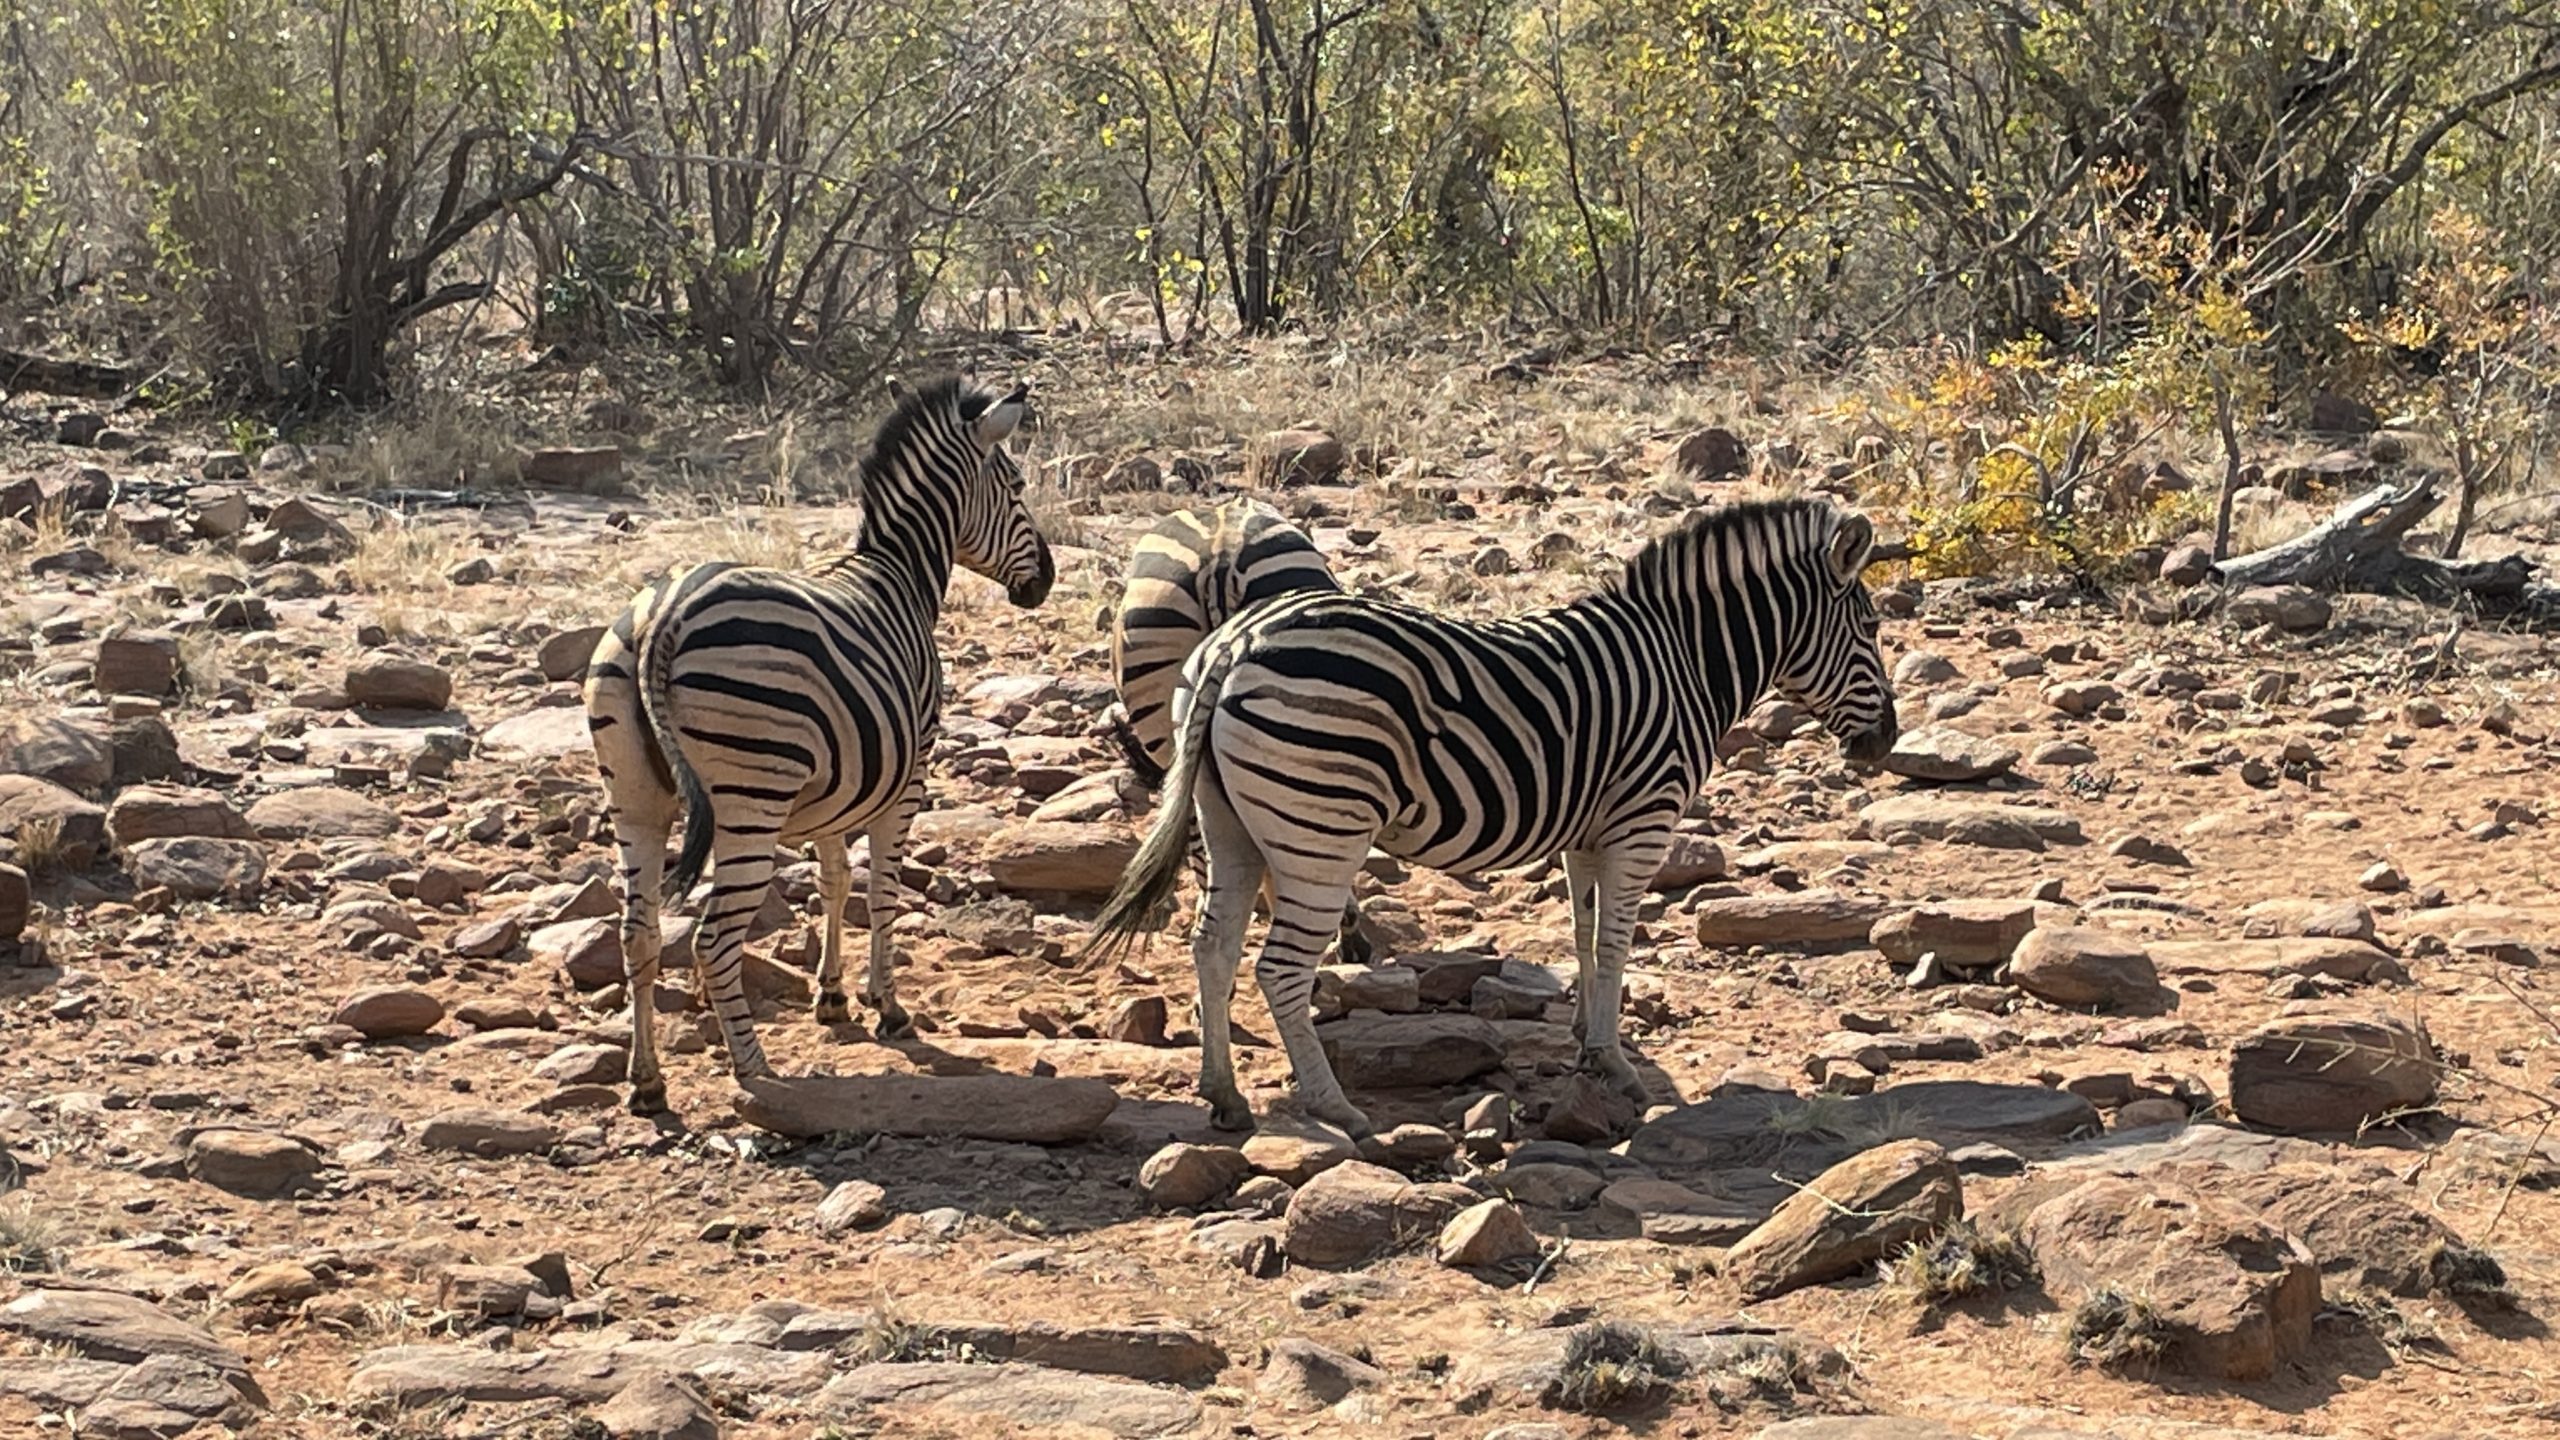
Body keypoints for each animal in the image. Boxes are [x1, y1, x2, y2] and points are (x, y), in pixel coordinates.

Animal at [586, 371, 1054, 1112]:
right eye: (1015, 484)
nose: (1046, 582)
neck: (899, 575)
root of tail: (665, 615)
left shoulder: (841, 785)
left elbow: (834, 881)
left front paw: (832, 998)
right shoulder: (909, 777)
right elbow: (882, 891)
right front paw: (887, 1007)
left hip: (635, 799)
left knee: (637, 933)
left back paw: (648, 1083)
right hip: (750, 795)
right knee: (713, 940)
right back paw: (756, 1071)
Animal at [1090, 499, 1894, 1137]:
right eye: (1872, 630)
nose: (1884, 742)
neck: (1685, 659)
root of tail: (1235, 642)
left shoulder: (1590, 826)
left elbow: (1584, 931)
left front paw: (1587, 1038)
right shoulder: (1643, 819)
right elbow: (1616, 943)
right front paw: (1617, 1064)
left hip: (1229, 821)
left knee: (1212, 947)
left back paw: (1224, 1095)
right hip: (1323, 827)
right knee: (1279, 968)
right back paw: (1335, 1107)